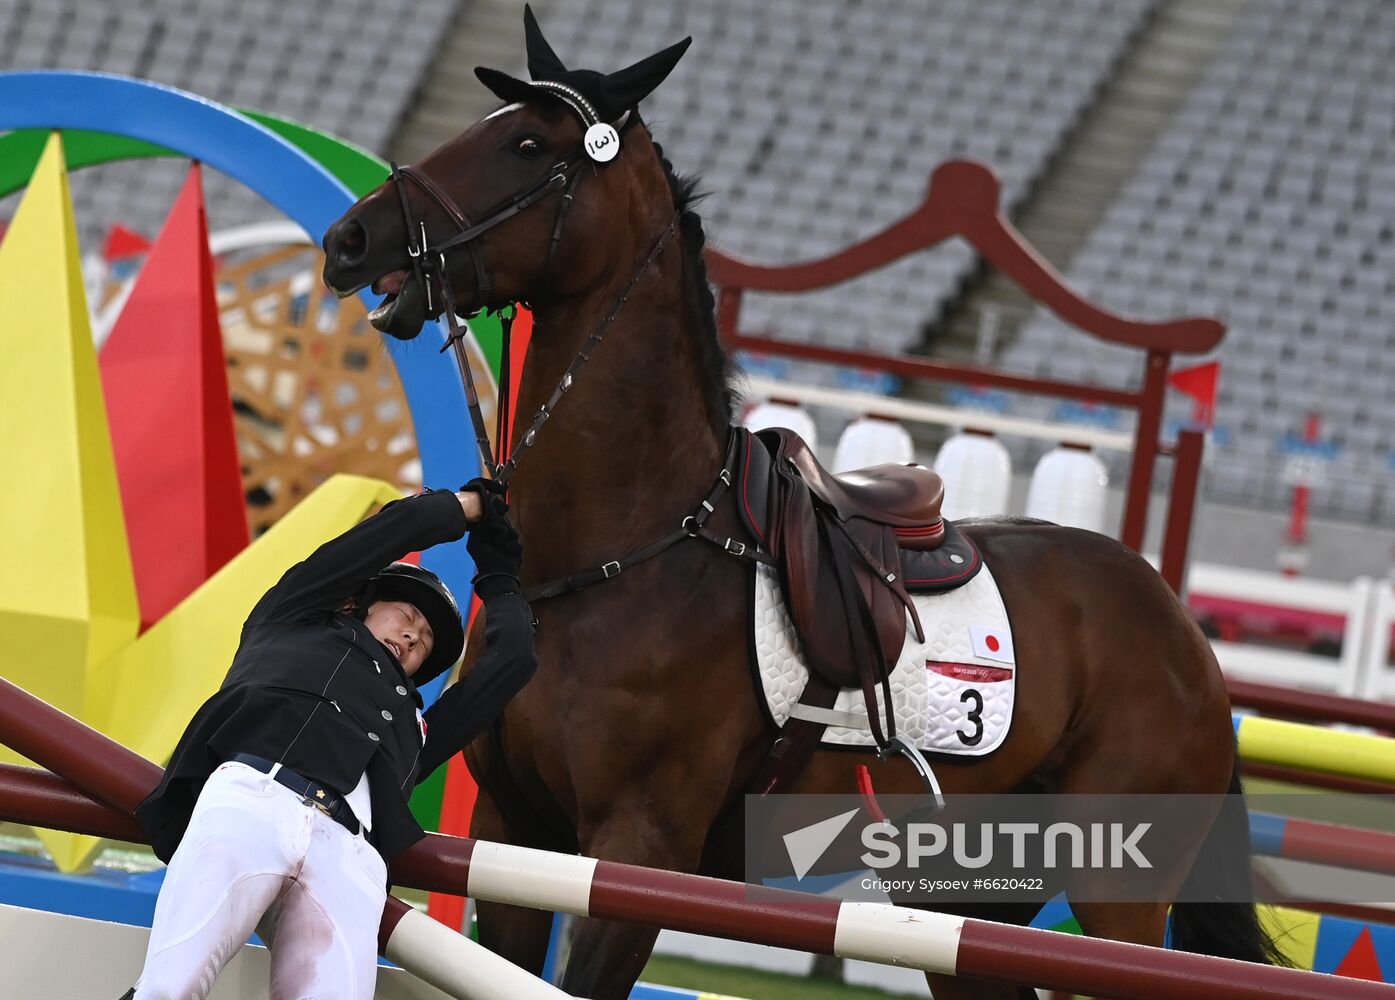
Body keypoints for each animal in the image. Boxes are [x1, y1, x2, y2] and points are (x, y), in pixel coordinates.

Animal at [320, 11, 1277, 993]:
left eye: (524, 144)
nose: (351, 238)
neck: (627, 554)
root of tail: (1177, 623)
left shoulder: (638, 854)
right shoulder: (516, 838)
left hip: (1118, 901)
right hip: (967, 904)